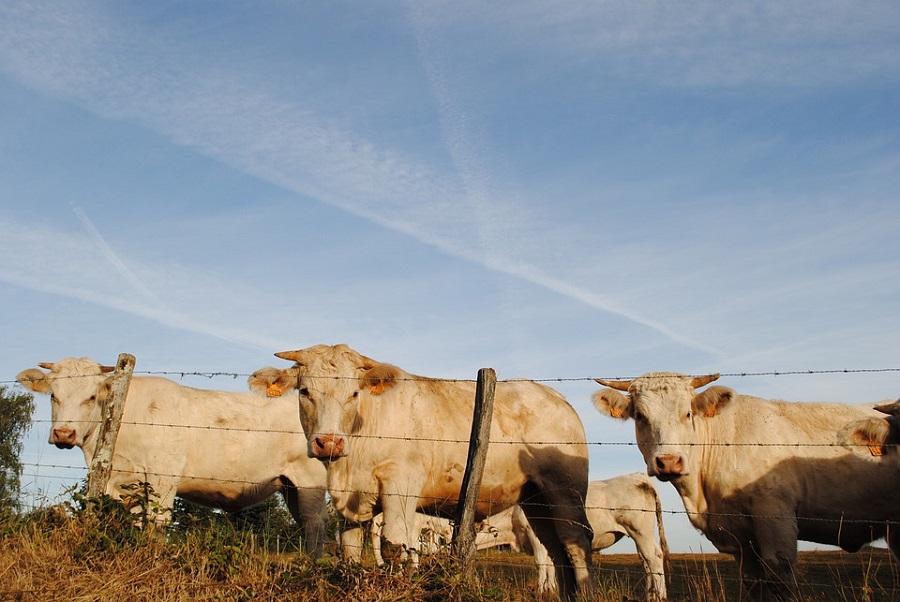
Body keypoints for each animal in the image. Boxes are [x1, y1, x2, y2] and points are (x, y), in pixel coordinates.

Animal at [18, 358, 328, 555]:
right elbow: (135, 522)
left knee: (315, 525)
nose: (64, 433)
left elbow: (158, 523)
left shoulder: (163, 477)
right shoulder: (124, 481)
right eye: (53, 396)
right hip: (289, 486)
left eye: (92, 397)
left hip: (310, 481)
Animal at [254, 343, 593, 600]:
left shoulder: (399, 486)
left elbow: (393, 547)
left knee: (576, 543)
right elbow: (349, 552)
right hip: (536, 501)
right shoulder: (348, 501)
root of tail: (555, 396)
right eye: (304, 392)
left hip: (565, 490)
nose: (328, 442)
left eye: (353, 394)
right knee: (556, 549)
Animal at [592, 372, 899, 598]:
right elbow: (754, 584)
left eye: (688, 413)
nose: (668, 461)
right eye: (640, 416)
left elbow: (780, 579)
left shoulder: (776, 520)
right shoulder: (741, 539)